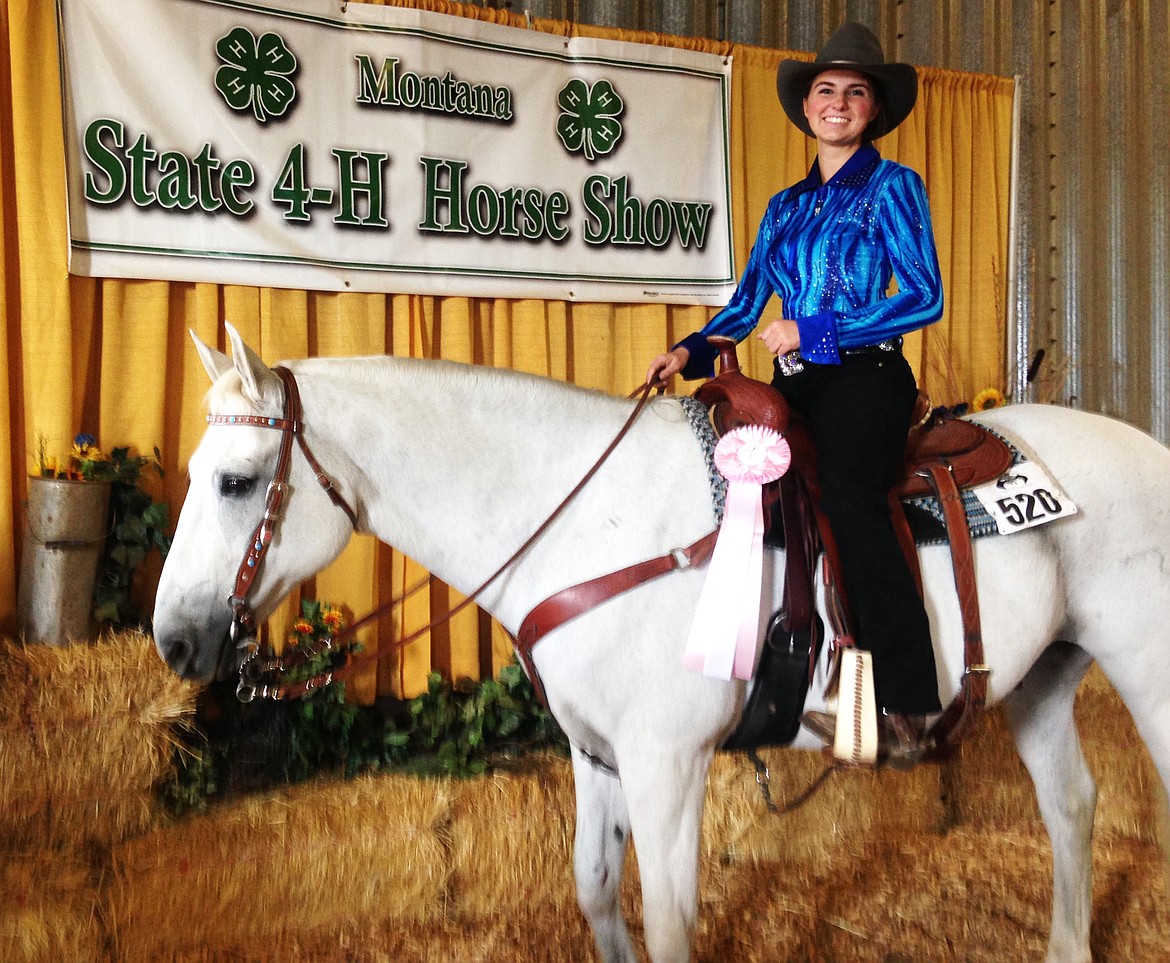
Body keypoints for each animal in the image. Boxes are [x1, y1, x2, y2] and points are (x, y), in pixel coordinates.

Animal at [155, 325, 1170, 963]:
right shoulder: (598, 754)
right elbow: (596, 889)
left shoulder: (667, 763)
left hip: (1146, 669)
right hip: (1042, 677)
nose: (173, 640)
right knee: (1072, 805)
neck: (584, 523)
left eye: (237, 481)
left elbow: (672, 923)